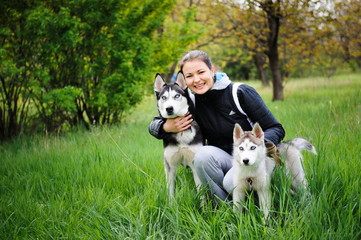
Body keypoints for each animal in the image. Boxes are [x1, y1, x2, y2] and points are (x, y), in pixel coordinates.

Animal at [153, 72, 202, 200]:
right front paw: (171, 204)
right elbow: (171, 192)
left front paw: (204, 205)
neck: (181, 133)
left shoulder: (195, 165)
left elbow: (202, 193)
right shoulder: (170, 166)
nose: (169, 108)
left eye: (177, 96)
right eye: (163, 97)